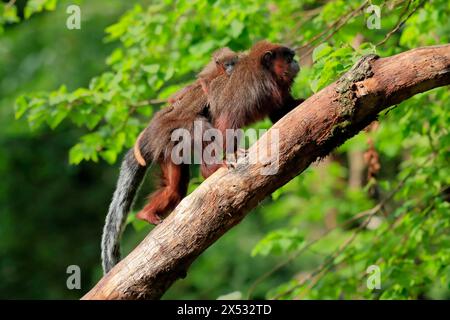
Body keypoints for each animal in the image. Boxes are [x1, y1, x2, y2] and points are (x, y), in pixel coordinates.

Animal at [102, 41, 304, 274]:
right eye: (288, 58)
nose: (296, 62)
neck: (264, 72)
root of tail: (153, 131)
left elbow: (281, 112)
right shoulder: (252, 87)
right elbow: (225, 121)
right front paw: (230, 154)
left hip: (167, 148)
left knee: (175, 188)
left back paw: (147, 213)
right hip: (172, 130)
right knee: (201, 126)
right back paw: (210, 170)